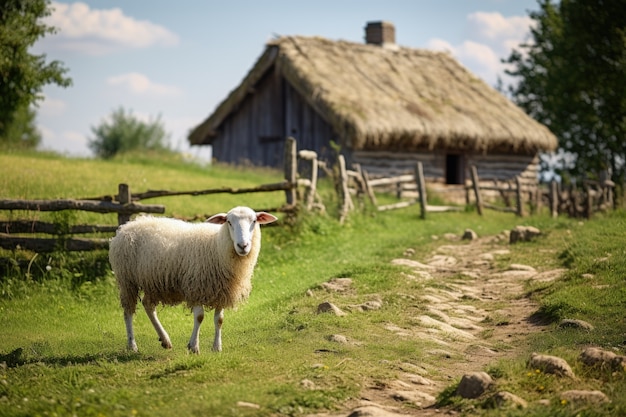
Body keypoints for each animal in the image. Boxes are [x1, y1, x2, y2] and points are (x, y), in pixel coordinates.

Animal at [108, 206, 276, 352]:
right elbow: (200, 317)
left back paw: (165, 340)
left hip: (153, 282)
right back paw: (132, 345)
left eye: (254, 221)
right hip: (127, 280)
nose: (243, 245)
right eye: (228, 222)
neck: (216, 246)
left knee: (148, 305)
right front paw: (194, 346)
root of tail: (127, 226)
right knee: (128, 312)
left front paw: (217, 347)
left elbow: (219, 319)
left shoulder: (222, 290)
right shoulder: (195, 286)